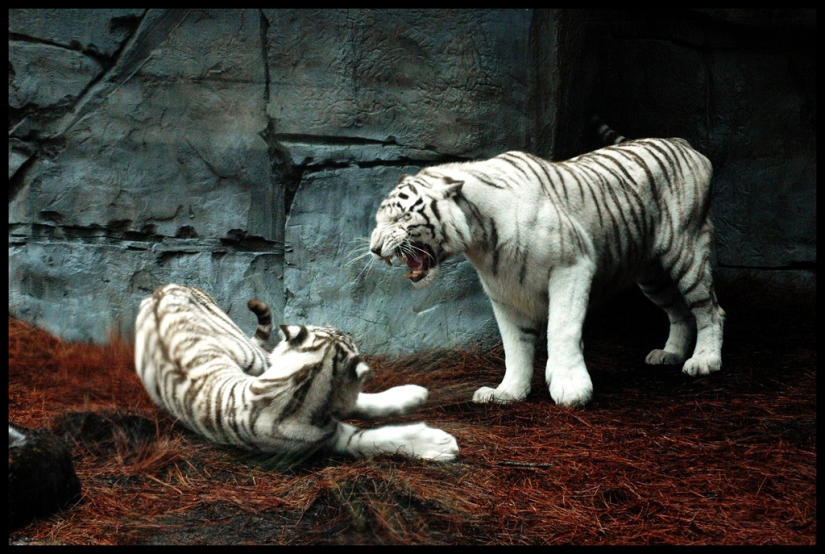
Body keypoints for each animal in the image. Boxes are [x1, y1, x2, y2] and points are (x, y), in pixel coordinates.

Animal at [134, 284, 459, 463]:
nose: (347, 329)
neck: (302, 380)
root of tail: (160, 289)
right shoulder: (330, 439)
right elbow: (377, 438)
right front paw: (440, 445)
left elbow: (367, 402)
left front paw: (415, 393)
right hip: (248, 354)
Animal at [369, 118, 725, 407]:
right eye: (379, 219)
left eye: (401, 217)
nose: (373, 248)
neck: (481, 240)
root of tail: (682, 142)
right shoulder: (504, 291)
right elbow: (515, 346)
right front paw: (508, 393)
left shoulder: (572, 267)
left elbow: (562, 329)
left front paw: (571, 389)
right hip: (652, 275)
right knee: (679, 311)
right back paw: (671, 353)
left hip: (686, 250)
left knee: (710, 309)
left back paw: (704, 361)